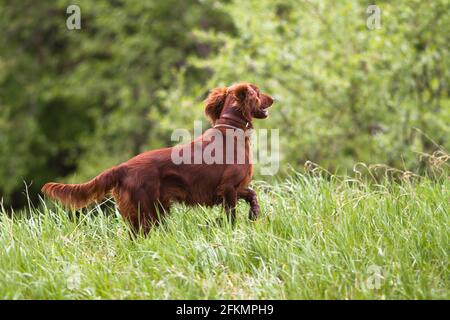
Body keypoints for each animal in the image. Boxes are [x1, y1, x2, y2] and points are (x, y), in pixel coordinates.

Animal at [42, 82, 274, 232]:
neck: (231, 130)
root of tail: (123, 167)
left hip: (152, 210)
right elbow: (232, 214)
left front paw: (254, 214)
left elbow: (252, 194)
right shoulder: (228, 188)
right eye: (259, 92)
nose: (273, 99)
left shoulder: (235, 187)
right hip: (147, 210)